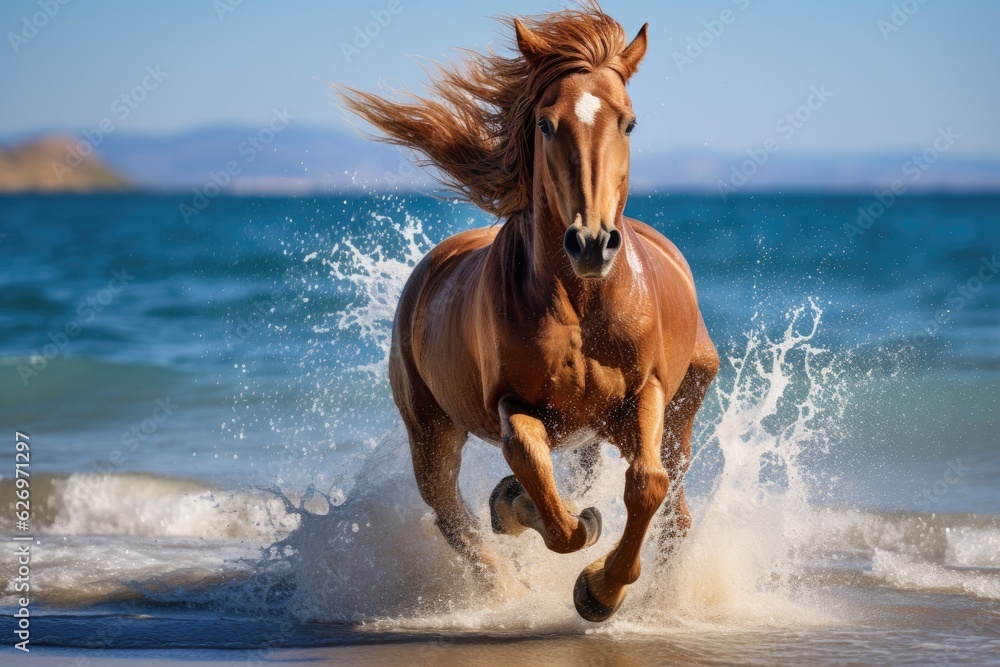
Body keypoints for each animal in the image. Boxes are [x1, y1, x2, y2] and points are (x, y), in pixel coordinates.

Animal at [339, 5, 718, 622]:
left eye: (629, 123)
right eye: (545, 124)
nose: (592, 243)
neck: (582, 306)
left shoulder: (647, 394)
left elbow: (646, 484)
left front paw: (601, 589)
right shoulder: (513, 402)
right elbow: (536, 474)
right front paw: (555, 532)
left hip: (678, 410)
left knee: (675, 506)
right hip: (431, 430)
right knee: (451, 514)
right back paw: (506, 574)